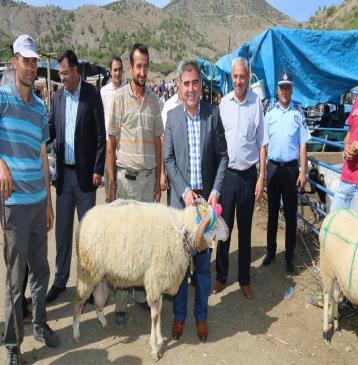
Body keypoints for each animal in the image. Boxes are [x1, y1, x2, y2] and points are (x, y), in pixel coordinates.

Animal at [73, 196, 229, 358]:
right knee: (79, 301)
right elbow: (154, 317)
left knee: (98, 299)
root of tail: (85, 219)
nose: (228, 232)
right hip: (87, 270)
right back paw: (76, 333)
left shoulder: (159, 281)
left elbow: (158, 311)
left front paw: (159, 340)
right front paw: (155, 348)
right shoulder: (154, 281)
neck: (179, 234)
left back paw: (102, 321)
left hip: (100, 274)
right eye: (214, 224)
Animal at [318, 208, 358, 344]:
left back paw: (336, 326)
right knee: (326, 296)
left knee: (336, 297)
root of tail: (338, 211)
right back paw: (325, 333)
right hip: (327, 265)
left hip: (338, 274)